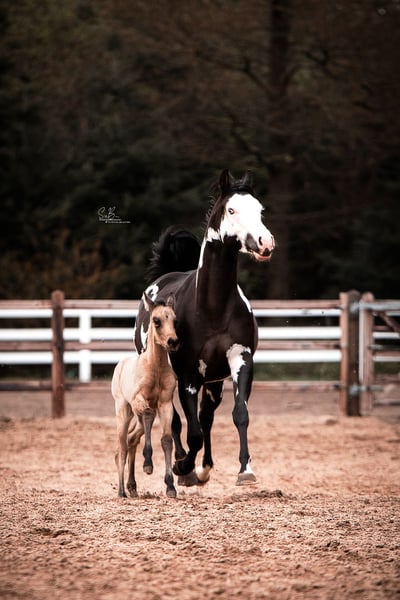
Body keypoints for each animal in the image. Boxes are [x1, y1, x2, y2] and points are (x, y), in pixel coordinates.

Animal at [112, 294, 179, 498]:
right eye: (157, 321)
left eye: (175, 320)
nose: (173, 342)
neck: (155, 367)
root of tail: (120, 364)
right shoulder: (139, 399)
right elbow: (149, 414)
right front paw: (148, 464)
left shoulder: (165, 404)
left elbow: (167, 440)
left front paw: (170, 486)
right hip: (124, 410)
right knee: (122, 447)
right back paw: (122, 491)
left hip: (137, 417)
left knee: (132, 439)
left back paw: (132, 486)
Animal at [134, 169, 275, 486]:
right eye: (231, 209)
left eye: (260, 210)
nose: (265, 243)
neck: (211, 307)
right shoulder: (188, 375)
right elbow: (192, 431)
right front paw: (182, 467)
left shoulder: (240, 360)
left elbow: (239, 414)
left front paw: (245, 470)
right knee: (175, 420)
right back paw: (183, 467)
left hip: (213, 383)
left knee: (206, 416)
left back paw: (204, 469)